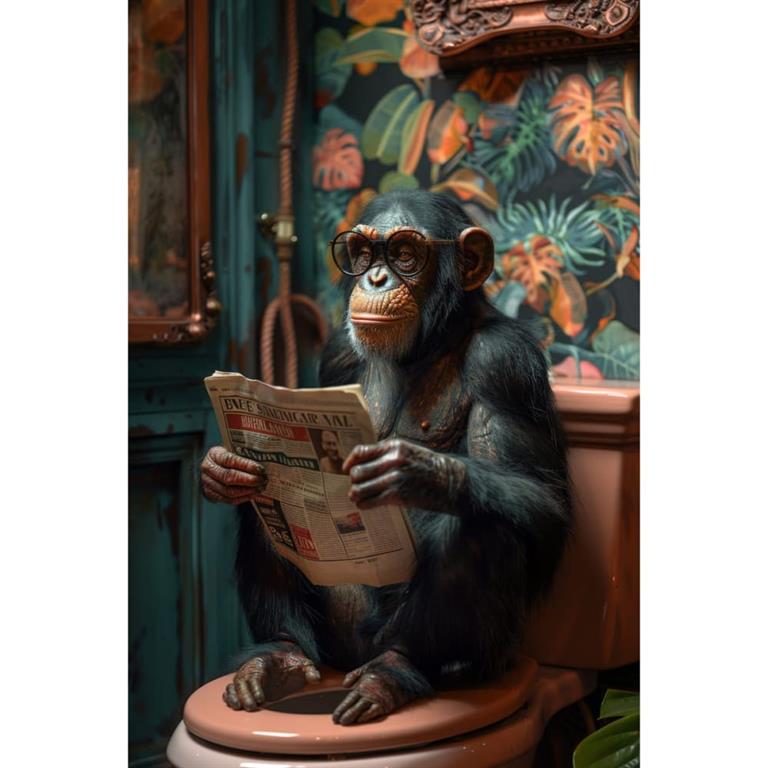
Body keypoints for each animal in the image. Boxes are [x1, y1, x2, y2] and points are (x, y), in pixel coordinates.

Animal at [200, 190, 572, 726]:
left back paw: (394, 672)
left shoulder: (508, 364)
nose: (376, 277)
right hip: (335, 640)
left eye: (404, 254)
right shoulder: (336, 352)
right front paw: (220, 469)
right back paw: (278, 658)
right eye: (360, 253)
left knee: (482, 525)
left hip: (476, 657)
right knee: (264, 506)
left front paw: (417, 472)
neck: (430, 342)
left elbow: (545, 500)